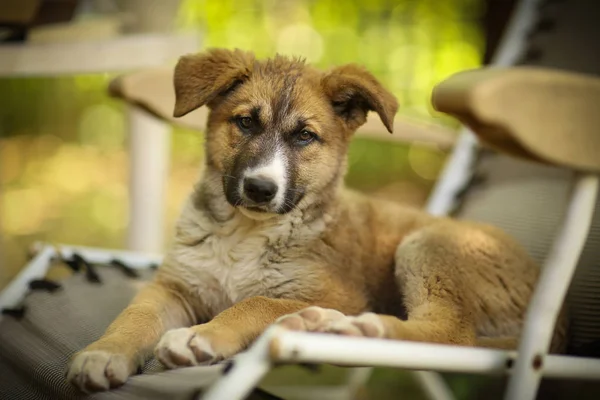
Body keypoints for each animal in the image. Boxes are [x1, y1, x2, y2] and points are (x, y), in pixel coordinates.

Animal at [68, 48, 564, 392]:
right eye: (245, 123)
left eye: (305, 136)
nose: (260, 188)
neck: (244, 233)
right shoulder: (174, 286)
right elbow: (133, 317)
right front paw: (102, 354)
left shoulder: (338, 292)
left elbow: (257, 302)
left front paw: (199, 337)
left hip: (429, 247)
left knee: (451, 335)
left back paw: (363, 328)